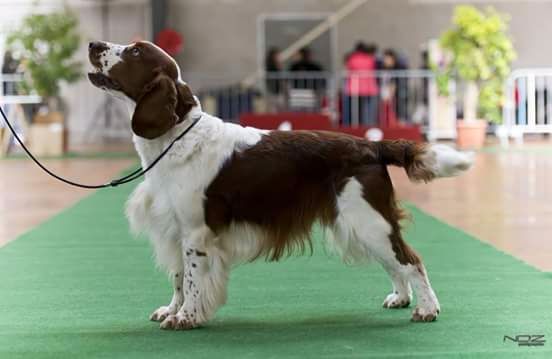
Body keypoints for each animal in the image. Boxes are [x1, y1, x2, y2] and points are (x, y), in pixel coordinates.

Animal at [88, 40, 472, 330]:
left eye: (135, 51)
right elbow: (178, 277)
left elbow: (194, 278)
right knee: (394, 262)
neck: (177, 137)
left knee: (411, 259)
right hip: (360, 223)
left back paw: (427, 309)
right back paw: (400, 298)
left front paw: (186, 318)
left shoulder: (196, 232)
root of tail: (372, 145)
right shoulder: (173, 228)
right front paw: (172, 309)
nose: (93, 44)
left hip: (368, 219)